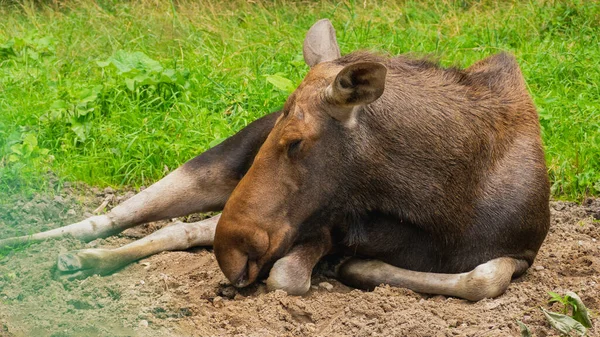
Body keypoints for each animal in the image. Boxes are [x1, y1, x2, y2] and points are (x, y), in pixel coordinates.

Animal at [0, 19, 548, 300]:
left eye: (296, 141)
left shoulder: (523, 251)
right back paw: (32, 243)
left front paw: (359, 266)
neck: (438, 202)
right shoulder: (321, 229)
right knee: (111, 217)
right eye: (276, 136)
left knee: (187, 229)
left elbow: (482, 278)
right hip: (216, 166)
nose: (233, 254)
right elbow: (289, 275)